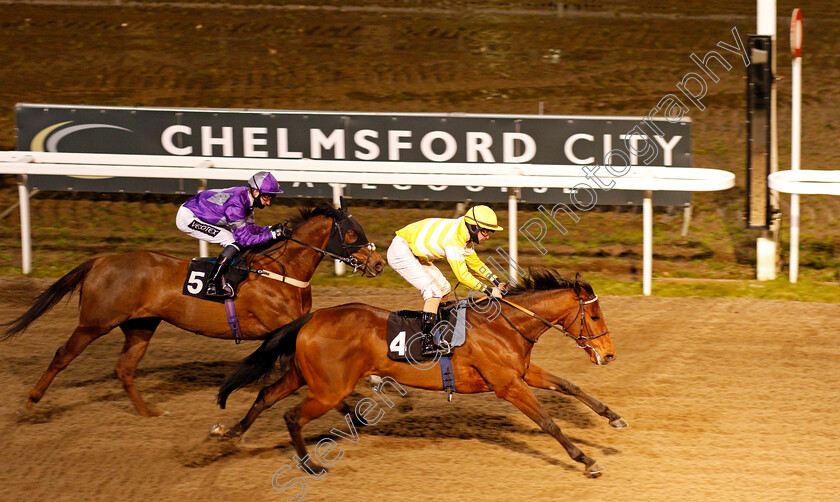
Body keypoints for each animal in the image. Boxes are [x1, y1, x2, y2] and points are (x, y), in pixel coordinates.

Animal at [1, 200, 384, 416]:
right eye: (352, 234)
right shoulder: (284, 329)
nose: (379, 264)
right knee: (62, 356)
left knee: (124, 369)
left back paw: (149, 412)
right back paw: (29, 403)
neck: (281, 271)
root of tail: (102, 260)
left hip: (141, 325)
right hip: (95, 322)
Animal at [213, 270, 628, 478]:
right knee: (290, 416)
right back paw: (311, 465)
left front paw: (614, 418)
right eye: (594, 315)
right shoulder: (507, 384)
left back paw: (231, 435)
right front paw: (586, 460)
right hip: (329, 388)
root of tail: (313, 316)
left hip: (306, 377)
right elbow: (548, 422)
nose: (609, 354)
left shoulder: (522, 371)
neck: (504, 325)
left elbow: (571, 386)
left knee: (265, 396)